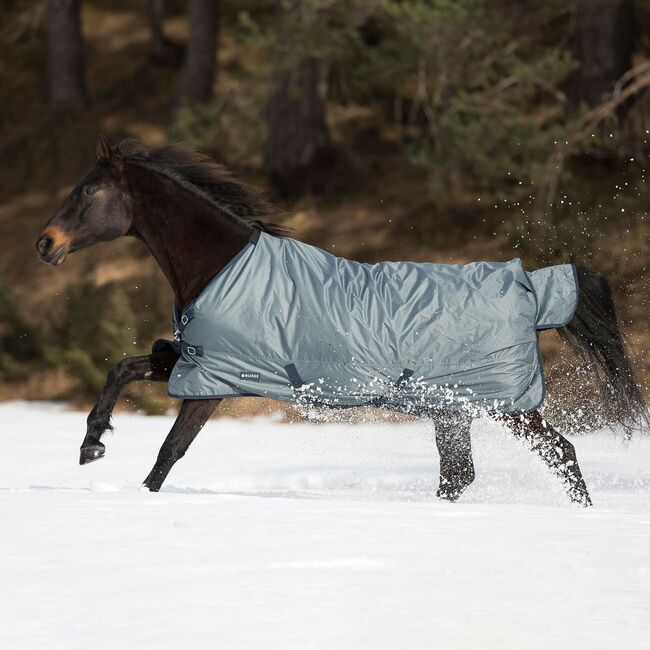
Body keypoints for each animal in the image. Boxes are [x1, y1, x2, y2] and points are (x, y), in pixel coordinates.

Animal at [35, 136, 647, 506]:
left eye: (89, 190)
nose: (45, 244)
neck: (221, 266)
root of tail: (533, 289)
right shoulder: (199, 362)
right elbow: (122, 368)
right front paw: (92, 445)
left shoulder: (213, 382)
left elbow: (168, 454)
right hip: (455, 410)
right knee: (463, 474)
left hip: (501, 404)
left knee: (559, 454)